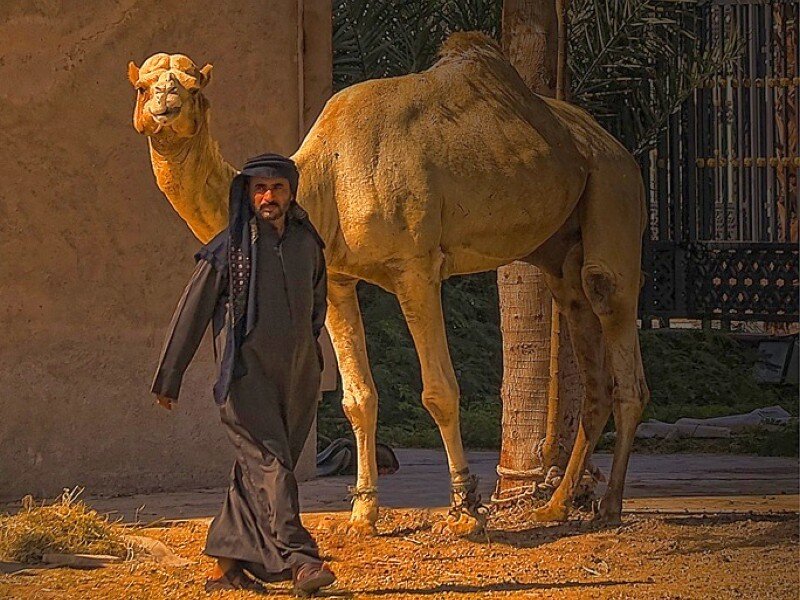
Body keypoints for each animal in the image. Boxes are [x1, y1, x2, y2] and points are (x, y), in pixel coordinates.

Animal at [129, 32, 649, 535]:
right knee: (589, 355)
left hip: (614, 186)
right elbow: (358, 398)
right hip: (559, 248)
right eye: (143, 87)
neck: (325, 179)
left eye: (194, 88)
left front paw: (466, 510)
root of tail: (614, 146)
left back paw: (608, 507)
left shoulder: (414, 266)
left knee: (610, 305)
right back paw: (556, 506)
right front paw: (363, 514)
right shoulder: (336, 279)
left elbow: (439, 391)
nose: (164, 107)